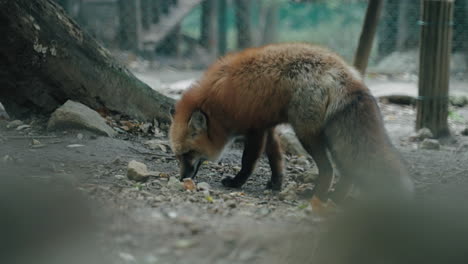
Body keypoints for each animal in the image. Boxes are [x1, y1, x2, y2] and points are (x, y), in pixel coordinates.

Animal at [168, 42, 414, 204]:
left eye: (188, 154)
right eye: (178, 156)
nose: (182, 178)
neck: (217, 103)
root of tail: (345, 74)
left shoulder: (254, 128)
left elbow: (248, 161)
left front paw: (237, 183)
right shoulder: (268, 126)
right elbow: (276, 158)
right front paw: (276, 183)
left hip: (306, 134)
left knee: (328, 169)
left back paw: (317, 195)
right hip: (334, 139)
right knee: (346, 172)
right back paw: (335, 196)